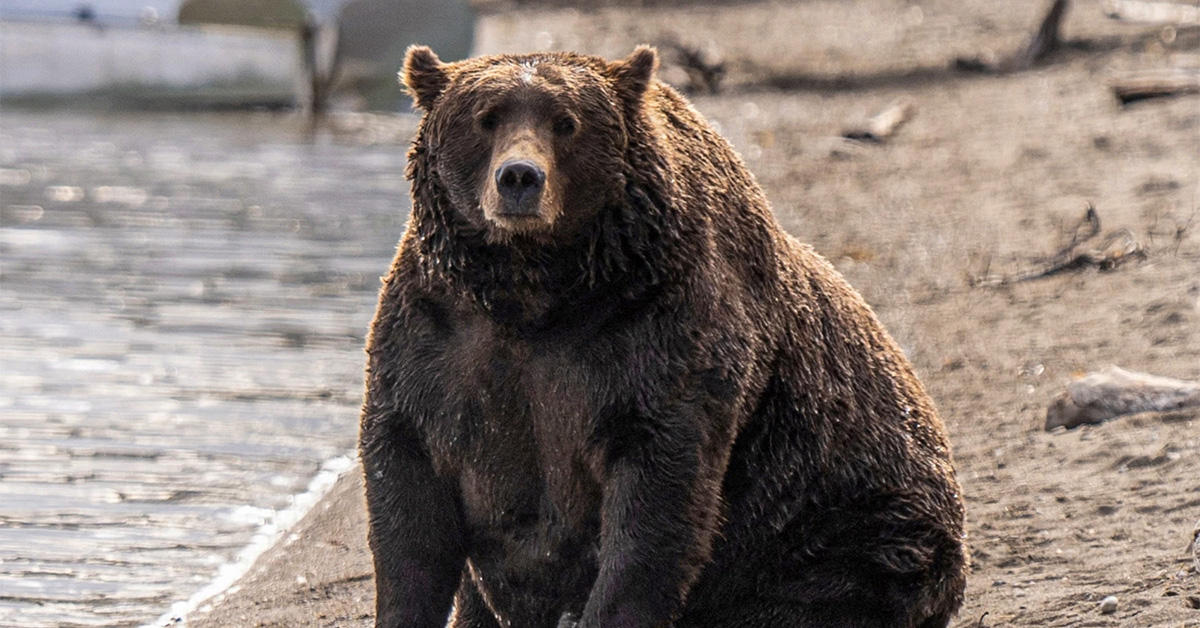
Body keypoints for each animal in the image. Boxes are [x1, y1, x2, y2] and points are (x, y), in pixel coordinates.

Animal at [358, 45, 967, 628]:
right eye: (485, 118)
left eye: (566, 122)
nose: (520, 178)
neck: (535, 290)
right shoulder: (438, 336)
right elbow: (408, 506)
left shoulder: (654, 332)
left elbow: (656, 504)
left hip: (845, 520)